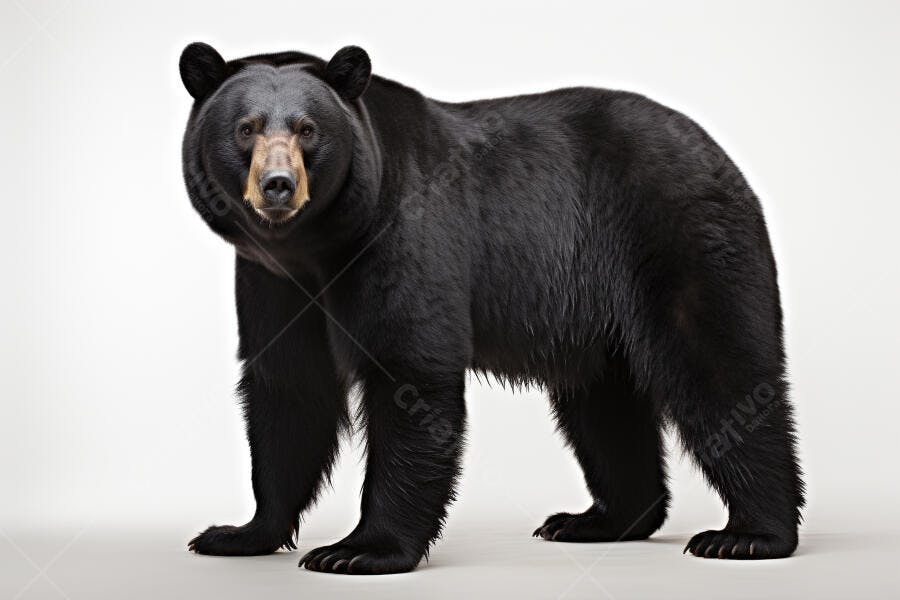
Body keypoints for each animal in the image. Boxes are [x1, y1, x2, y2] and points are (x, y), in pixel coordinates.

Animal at [179, 42, 804, 574]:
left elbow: (408, 371)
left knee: (718, 370)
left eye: (308, 129)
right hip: (595, 311)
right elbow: (288, 386)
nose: (278, 185)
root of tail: (717, 150)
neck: (318, 247)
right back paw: (599, 520)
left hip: (682, 236)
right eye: (245, 128)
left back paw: (749, 534)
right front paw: (239, 532)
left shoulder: (404, 237)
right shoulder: (273, 280)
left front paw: (359, 549)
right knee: (604, 406)